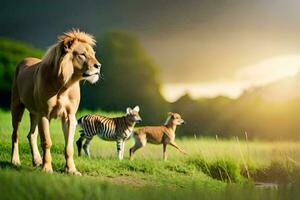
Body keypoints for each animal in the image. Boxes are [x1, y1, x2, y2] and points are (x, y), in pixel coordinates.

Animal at [10, 28, 101, 175]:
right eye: (82, 54)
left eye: (93, 54)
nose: (98, 66)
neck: (64, 85)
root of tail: (25, 59)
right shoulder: (44, 114)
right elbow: (47, 142)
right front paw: (47, 168)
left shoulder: (69, 117)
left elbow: (69, 147)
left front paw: (71, 170)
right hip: (17, 107)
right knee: (15, 135)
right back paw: (15, 161)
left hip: (34, 113)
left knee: (31, 135)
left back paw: (37, 161)